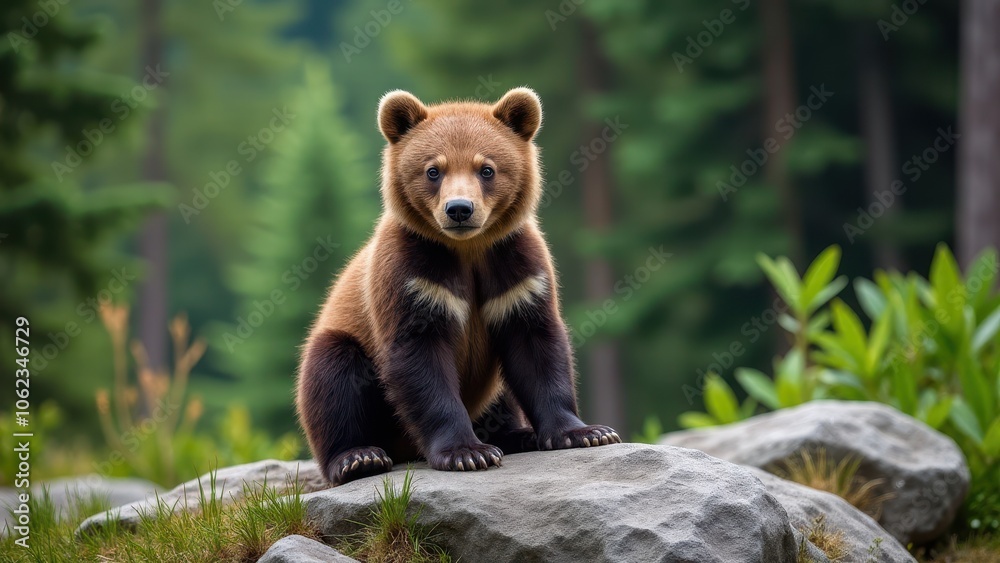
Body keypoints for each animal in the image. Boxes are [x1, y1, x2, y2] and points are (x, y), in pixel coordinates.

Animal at [296, 87, 622, 486]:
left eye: (487, 168)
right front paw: (466, 452)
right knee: (334, 374)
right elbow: (421, 362)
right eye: (433, 170)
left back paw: (518, 434)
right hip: (342, 340)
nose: (460, 209)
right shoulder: (412, 278)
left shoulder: (516, 272)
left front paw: (586, 432)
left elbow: (537, 346)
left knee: (501, 394)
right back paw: (358, 457)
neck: (468, 250)